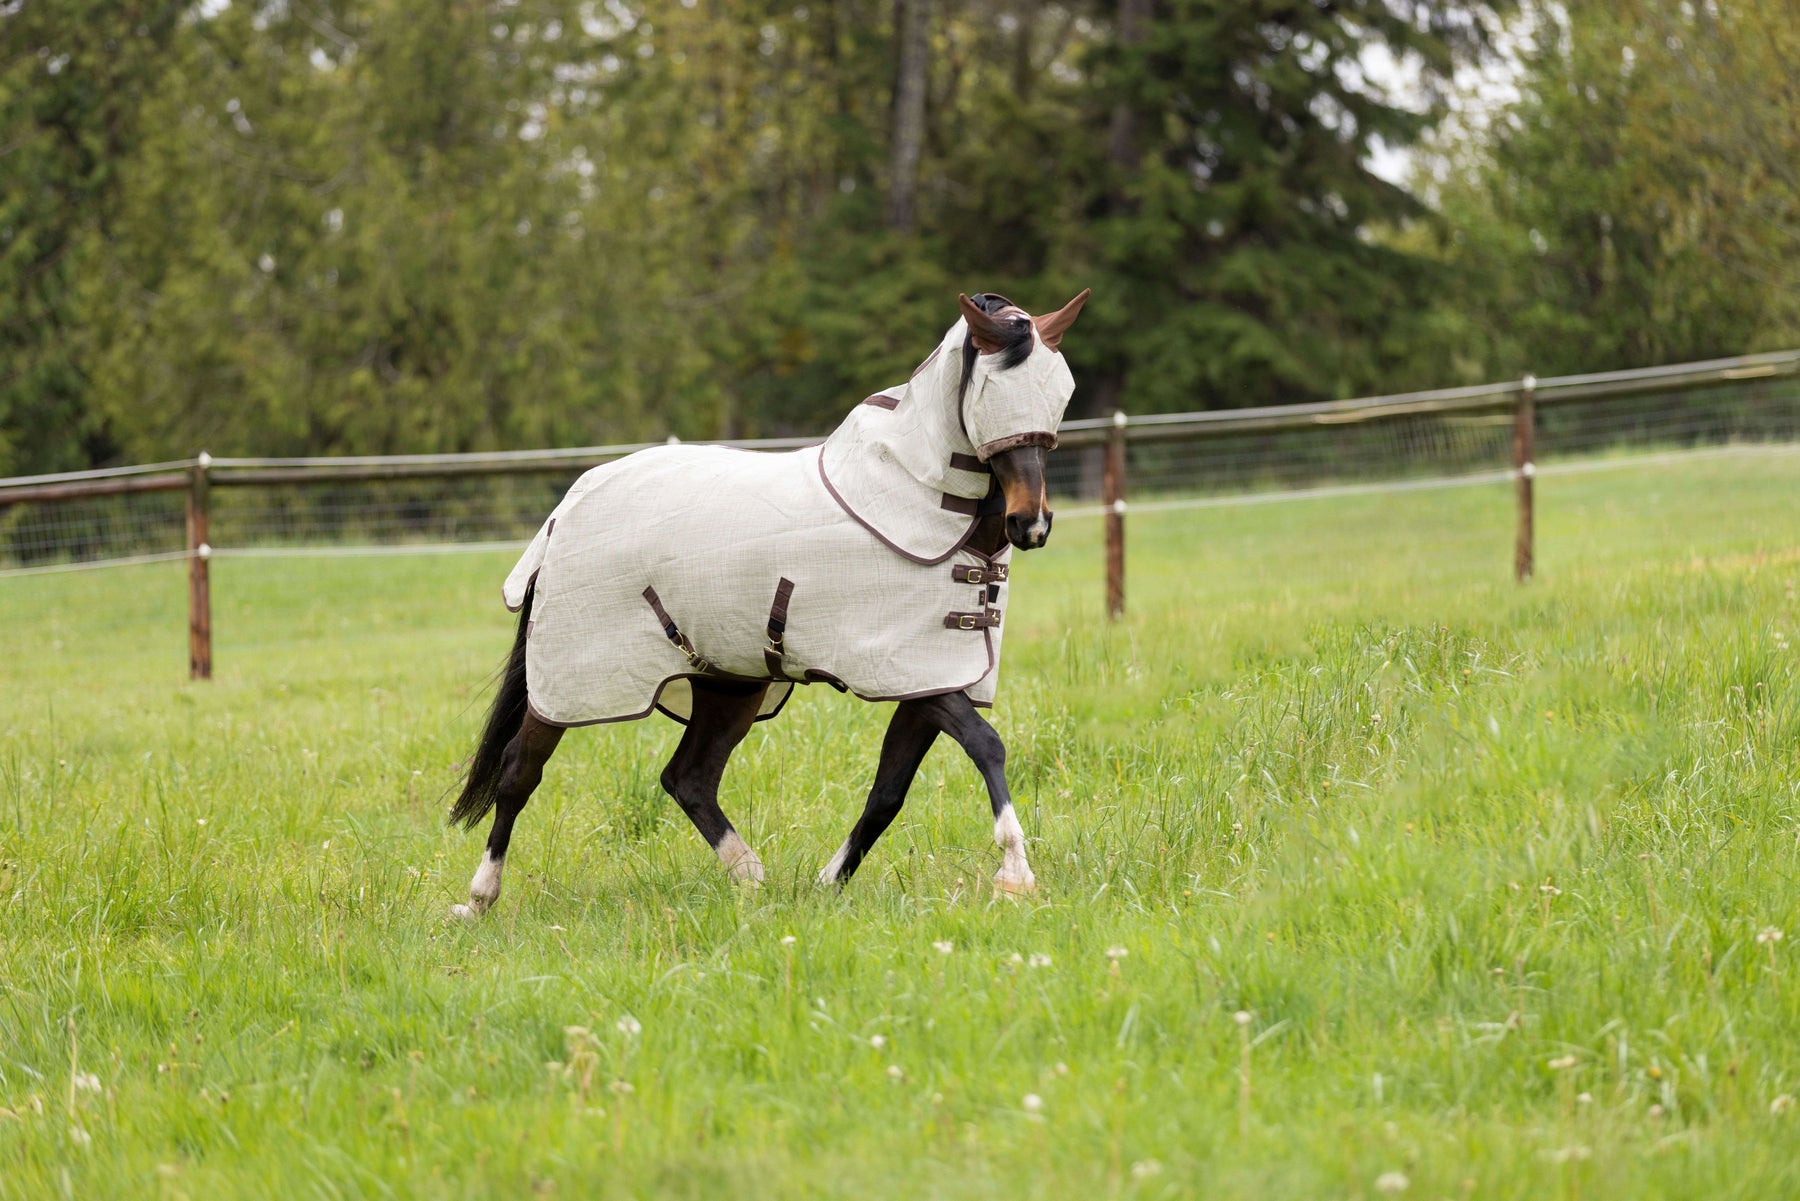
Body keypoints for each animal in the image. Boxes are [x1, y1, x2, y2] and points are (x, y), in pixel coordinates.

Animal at [442, 291, 1087, 921]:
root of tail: (567, 510)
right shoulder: (909, 673)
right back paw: (478, 899)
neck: (925, 514)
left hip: (729, 683)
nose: (1031, 524)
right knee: (519, 772)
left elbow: (889, 791)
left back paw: (750, 878)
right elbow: (986, 744)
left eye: (1060, 392)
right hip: (570, 680)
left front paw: (829, 883)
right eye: (990, 393)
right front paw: (1016, 873)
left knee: (689, 778)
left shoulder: (929, 677)